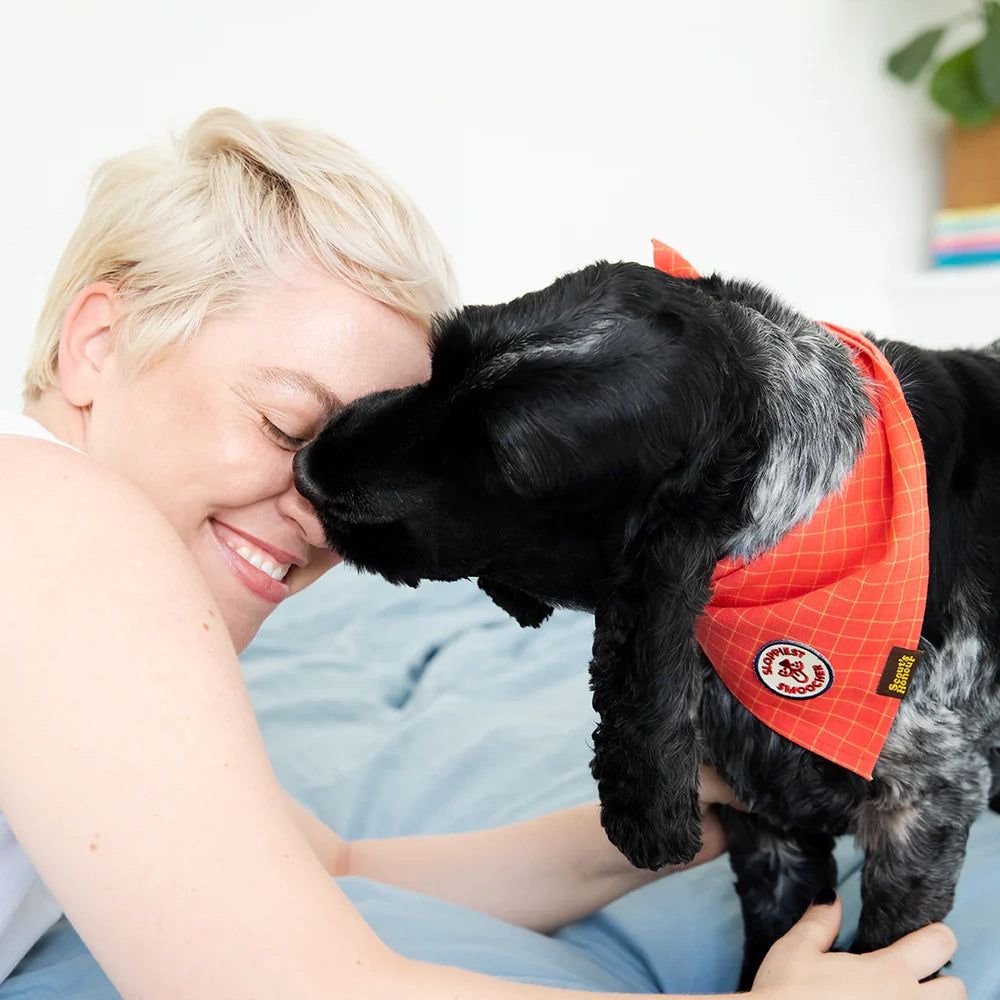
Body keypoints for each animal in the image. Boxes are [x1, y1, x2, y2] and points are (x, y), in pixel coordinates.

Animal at [294, 262, 1000, 988]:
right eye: (439, 362)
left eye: (499, 466)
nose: (306, 468)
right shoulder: (765, 821)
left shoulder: (925, 808)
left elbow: (891, 946)